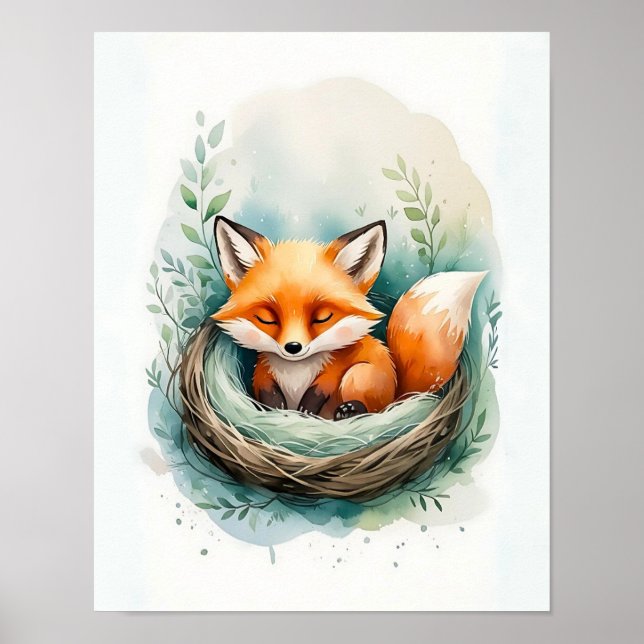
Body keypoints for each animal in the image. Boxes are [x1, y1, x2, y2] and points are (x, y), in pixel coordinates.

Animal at [211, 216, 487, 421]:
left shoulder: (335, 368)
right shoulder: (264, 371)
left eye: (323, 317)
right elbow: (267, 392)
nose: (293, 347)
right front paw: (279, 412)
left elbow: (320, 389)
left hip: (358, 375)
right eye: (267, 318)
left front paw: (306, 412)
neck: (296, 372)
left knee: (373, 410)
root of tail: (401, 394)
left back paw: (349, 412)